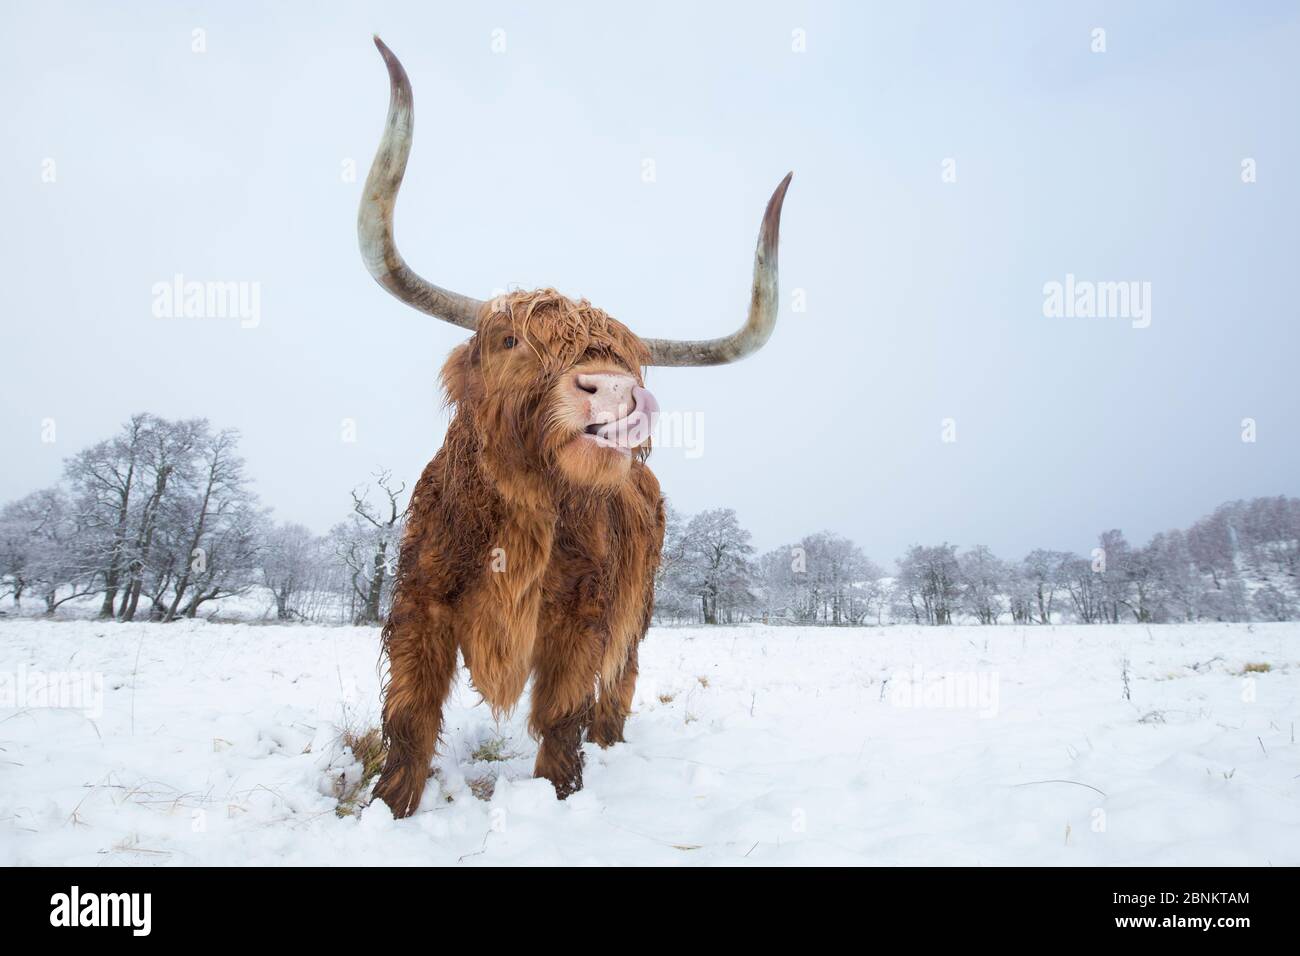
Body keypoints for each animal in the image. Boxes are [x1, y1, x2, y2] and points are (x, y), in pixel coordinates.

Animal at [358, 35, 790, 816]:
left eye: (628, 360)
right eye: (508, 340)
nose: (615, 392)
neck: (522, 517)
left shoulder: (583, 618)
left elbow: (563, 714)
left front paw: (561, 794)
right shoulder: (419, 606)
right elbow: (409, 715)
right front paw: (389, 807)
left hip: (639, 612)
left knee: (619, 686)